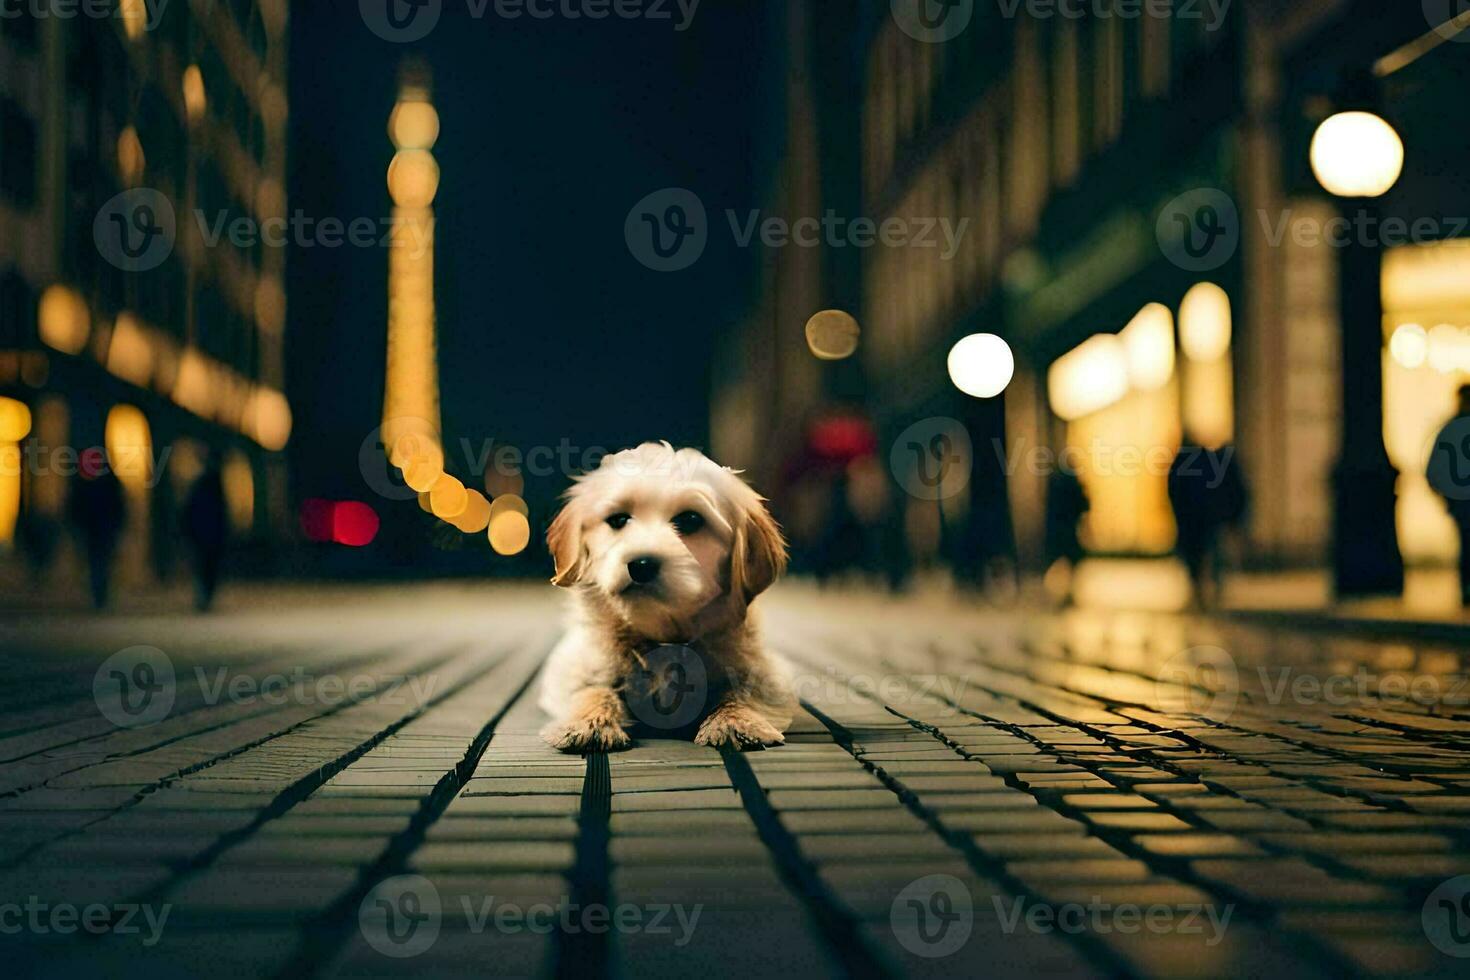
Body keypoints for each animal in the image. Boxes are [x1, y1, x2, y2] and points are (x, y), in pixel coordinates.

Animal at [538, 440, 793, 758]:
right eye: (618, 520)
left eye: (691, 519)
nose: (641, 564)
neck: (660, 630)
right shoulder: (576, 666)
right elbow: (592, 689)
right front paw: (590, 722)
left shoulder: (767, 673)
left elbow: (742, 690)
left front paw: (736, 721)